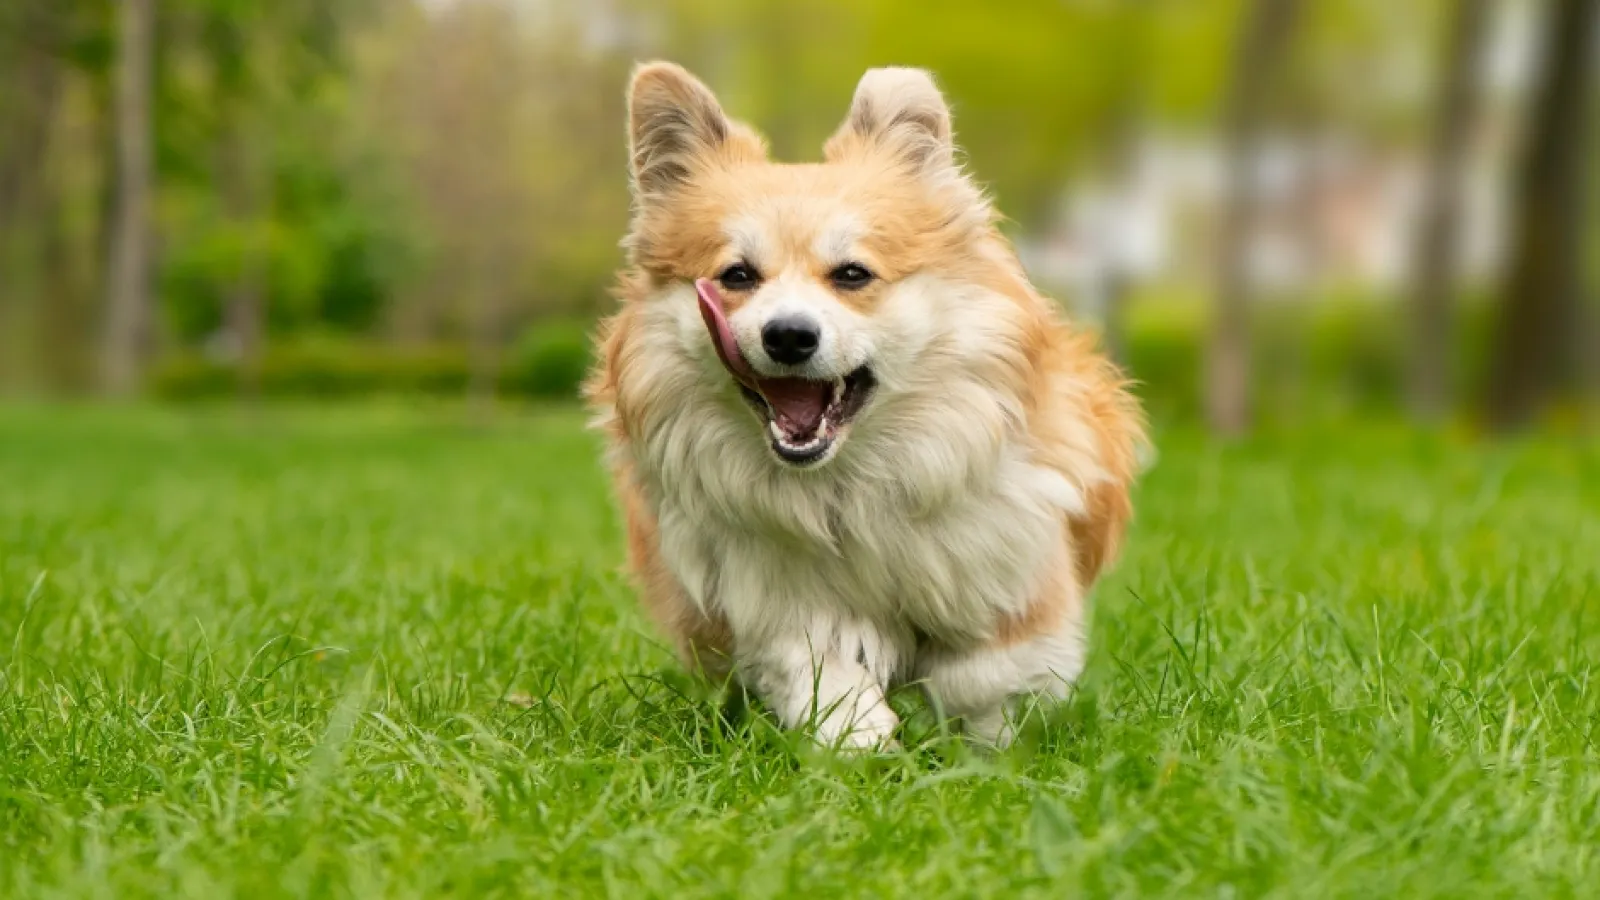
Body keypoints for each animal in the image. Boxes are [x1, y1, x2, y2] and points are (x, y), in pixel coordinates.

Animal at [585, 63, 1139, 746]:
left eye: (852, 274)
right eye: (738, 276)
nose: (788, 334)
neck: (848, 483)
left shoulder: (1008, 559)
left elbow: (989, 668)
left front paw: (989, 740)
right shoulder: (767, 591)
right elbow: (816, 665)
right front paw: (859, 737)